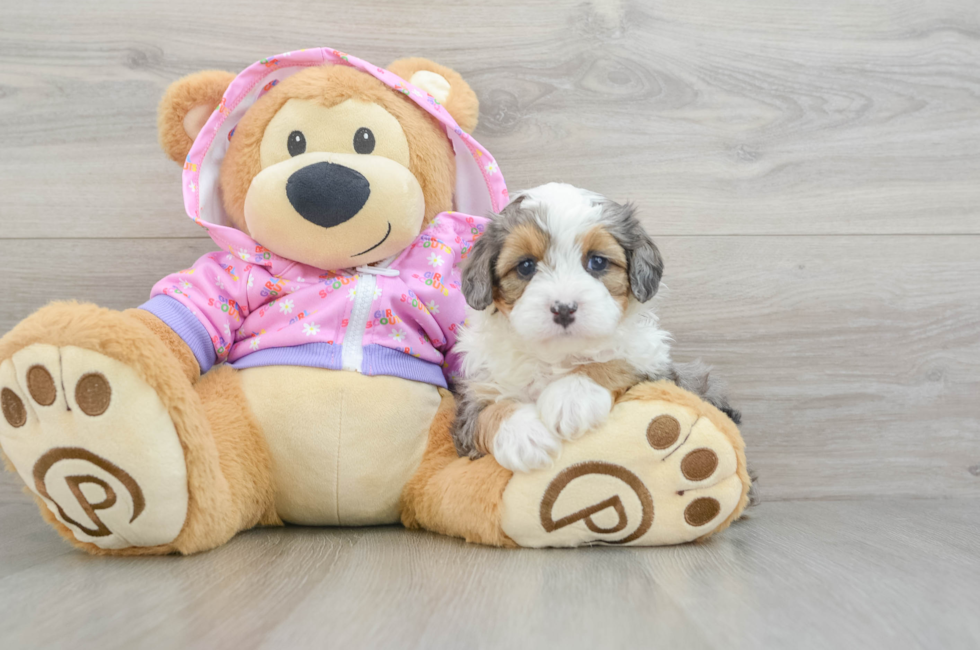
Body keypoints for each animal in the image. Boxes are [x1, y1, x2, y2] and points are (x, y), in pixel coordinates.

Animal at [452, 182, 736, 470]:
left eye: (597, 262)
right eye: (526, 266)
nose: (564, 308)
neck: (558, 355)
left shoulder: (657, 367)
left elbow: (615, 362)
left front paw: (572, 396)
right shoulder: (475, 393)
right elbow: (486, 411)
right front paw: (523, 435)